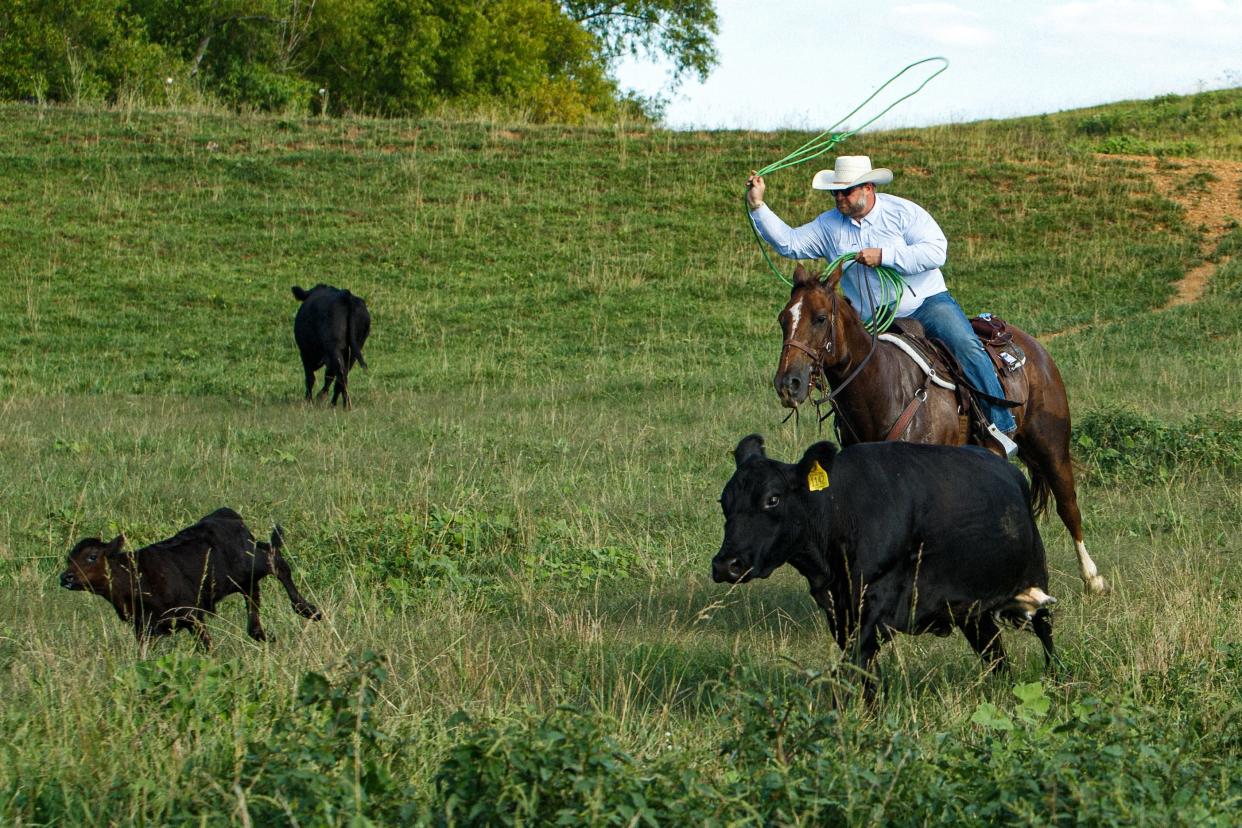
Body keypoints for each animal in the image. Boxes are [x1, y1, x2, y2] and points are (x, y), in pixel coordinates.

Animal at [60, 506, 322, 645]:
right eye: (68, 559)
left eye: (92, 556)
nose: (66, 578)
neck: (135, 574)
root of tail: (227, 515)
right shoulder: (144, 629)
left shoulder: (191, 615)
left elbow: (207, 646)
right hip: (241, 576)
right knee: (254, 590)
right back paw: (259, 633)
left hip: (249, 563)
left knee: (277, 562)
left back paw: (309, 610)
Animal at [715, 434, 1053, 700]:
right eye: (723, 501)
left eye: (772, 499)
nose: (726, 564)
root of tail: (1009, 470)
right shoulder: (840, 611)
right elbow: (865, 675)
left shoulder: (875, 602)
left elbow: (852, 667)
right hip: (971, 610)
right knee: (994, 652)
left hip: (1036, 581)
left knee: (1045, 633)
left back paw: (1055, 680)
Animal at [775, 264, 1107, 595]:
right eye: (783, 320)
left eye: (820, 318)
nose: (788, 384)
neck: (885, 386)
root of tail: (1032, 347)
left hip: (1051, 446)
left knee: (1068, 505)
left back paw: (1092, 578)